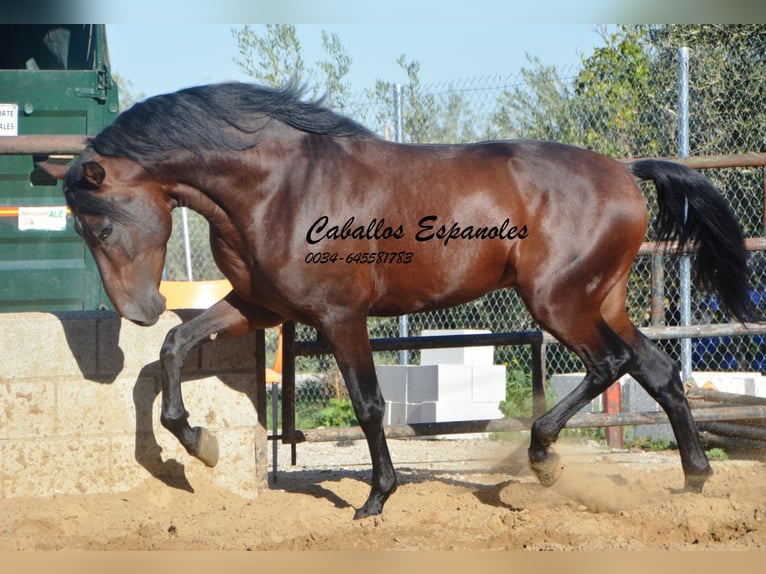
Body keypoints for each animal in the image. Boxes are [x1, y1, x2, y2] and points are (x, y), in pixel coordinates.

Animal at [42, 82, 756, 520]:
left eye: (100, 227)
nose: (138, 310)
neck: (277, 187)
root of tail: (625, 172)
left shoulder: (339, 317)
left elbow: (368, 405)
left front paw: (375, 500)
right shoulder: (260, 306)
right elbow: (172, 347)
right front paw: (199, 445)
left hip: (558, 303)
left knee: (611, 366)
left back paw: (545, 460)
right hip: (599, 301)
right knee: (659, 371)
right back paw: (694, 478)